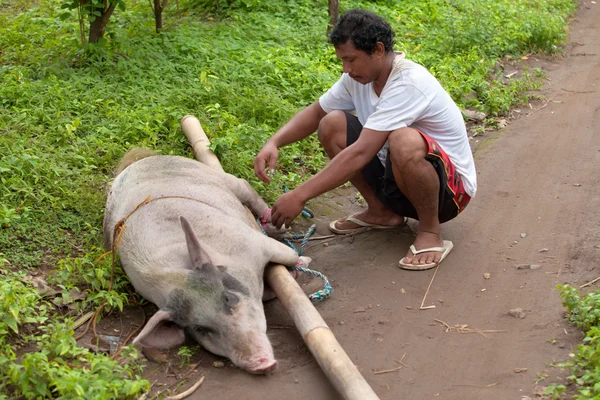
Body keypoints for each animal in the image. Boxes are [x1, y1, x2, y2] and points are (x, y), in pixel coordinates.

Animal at [102, 148, 308, 374]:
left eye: (227, 298)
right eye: (201, 328)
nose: (260, 365)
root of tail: (141, 160)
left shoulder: (251, 241)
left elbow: (288, 255)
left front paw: (303, 262)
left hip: (212, 175)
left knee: (244, 184)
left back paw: (276, 227)